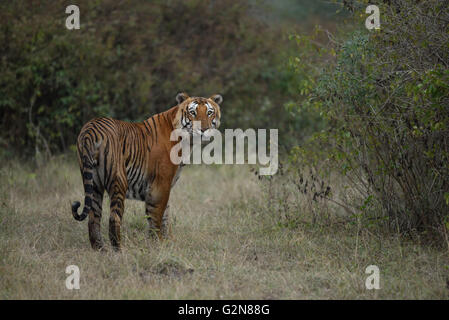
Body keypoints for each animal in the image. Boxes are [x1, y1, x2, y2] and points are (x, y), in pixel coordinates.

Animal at [70, 92, 222, 250]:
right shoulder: (161, 183)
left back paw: (100, 250)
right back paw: (119, 250)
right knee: (114, 218)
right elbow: (157, 215)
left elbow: (166, 215)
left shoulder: (166, 185)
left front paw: (169, 242)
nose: (204, 130)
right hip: (119, 180)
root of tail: (90, 128)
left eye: (209, 112)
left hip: (94, 183)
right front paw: (158, 243)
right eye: (193, 112)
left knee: (94, 217)